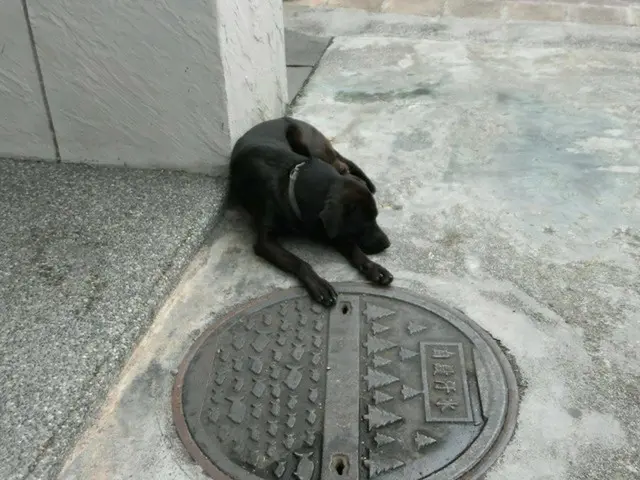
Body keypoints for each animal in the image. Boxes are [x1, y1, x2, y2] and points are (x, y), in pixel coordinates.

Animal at [228, 115, 392, 308]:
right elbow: (298, 262)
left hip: (311, 146)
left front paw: (373, 267)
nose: (387, 243)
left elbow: (353, 249)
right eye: (364, 223)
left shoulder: (327, 228)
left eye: (375, 218)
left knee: (342, 166)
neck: (290, 184)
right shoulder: (265, 242)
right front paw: (318, 284)